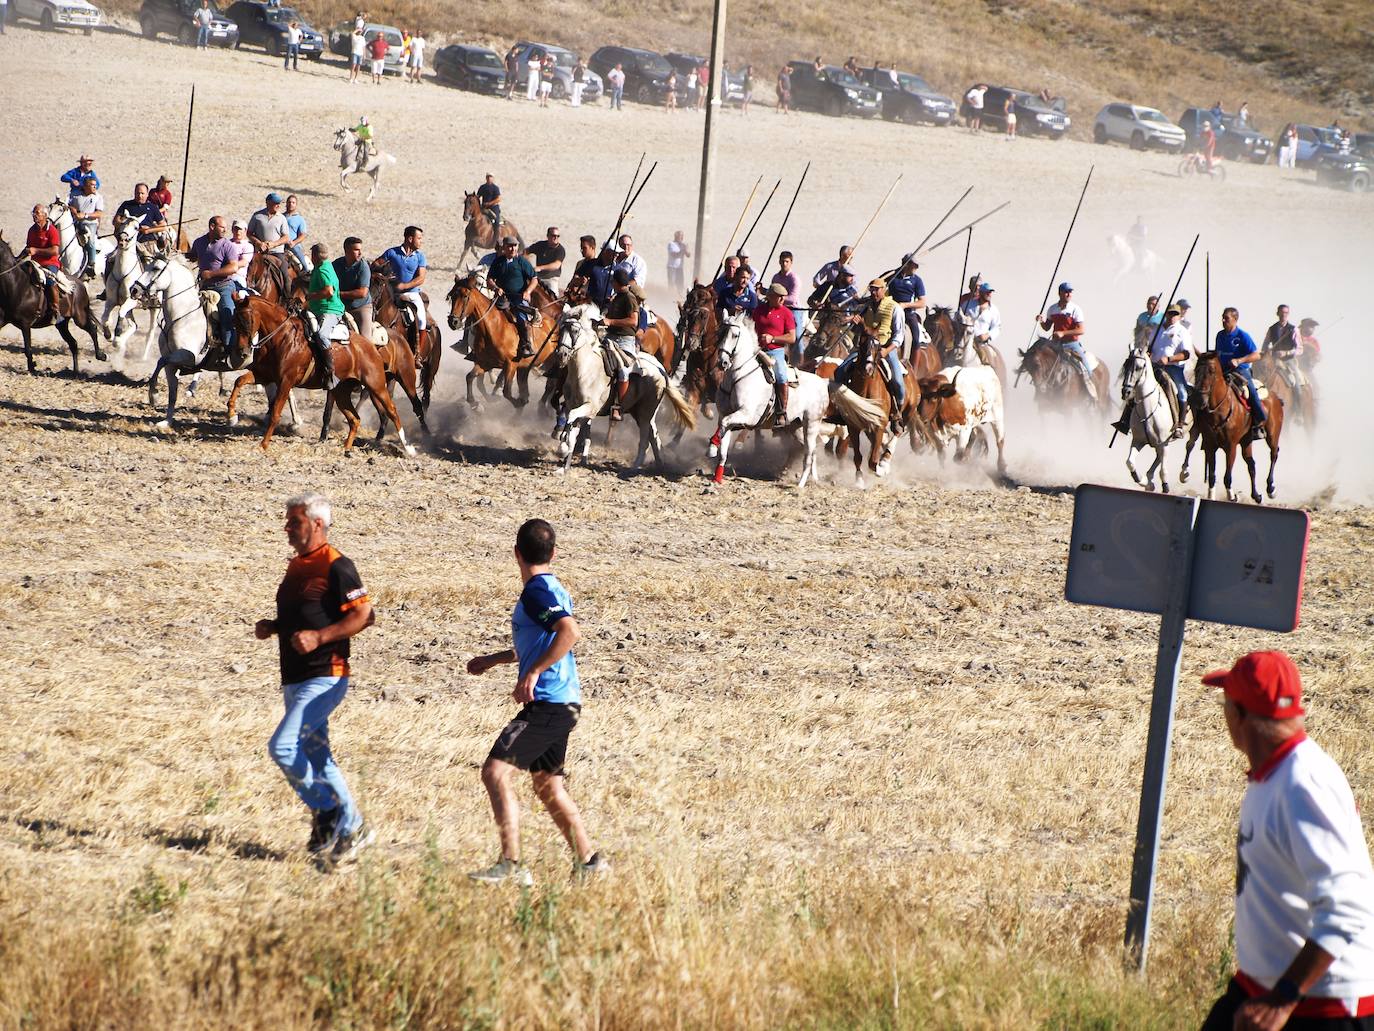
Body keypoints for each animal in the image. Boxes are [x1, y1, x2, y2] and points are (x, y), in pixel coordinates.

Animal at [0, 230, 104, 376]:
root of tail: (79, 283)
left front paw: (32, 368)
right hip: (62, 324)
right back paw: (75, 371)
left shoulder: (25, 324)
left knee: (92, 330)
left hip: (80, 317)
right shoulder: (2, 320)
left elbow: (28, 349)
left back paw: (101, 355)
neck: (16, 285)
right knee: (73, 343)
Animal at [226, 294, 412, 456]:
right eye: (233, 321)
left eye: (247, 320)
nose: (242, 352)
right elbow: (239, 381)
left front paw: (264, 444)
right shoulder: (264, 375)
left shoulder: (286, 382)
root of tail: (372, 347)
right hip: (341, 392)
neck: (282, 337)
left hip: (376, 385)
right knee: (355, 419)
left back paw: (408, 448)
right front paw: (231, 415)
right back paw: (346, 448)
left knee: (392, 411)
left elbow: (275, 413)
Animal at [708, 309, 879, 489]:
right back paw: (813, 479)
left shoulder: (747, 415)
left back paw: (801, 484)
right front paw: (717, 476)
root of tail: (824, 382)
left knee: (810, 455)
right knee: (812, 451)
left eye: (735, 335)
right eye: (720, 333)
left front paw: (712, 446)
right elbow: (723, 445)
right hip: (797, 428)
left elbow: (724, 424)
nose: (722, 362)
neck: (739, 377)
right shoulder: (726, 414)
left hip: (811, 424)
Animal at [1115, 349, 1181, 494]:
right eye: (1125, 365)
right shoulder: (1138, 441)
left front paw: (1165, 487)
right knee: (1157, 457)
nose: (1126, 392)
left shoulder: (1163, 443)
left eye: (1139, 367)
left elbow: (1163, 470)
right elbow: (1130, 462)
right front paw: (1144, 481)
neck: (1148, 409)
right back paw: (1149, 479)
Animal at [1176, 351, 1280, 505]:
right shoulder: (1210, 445)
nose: (1198, 399)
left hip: (1273, 435)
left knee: (1273, 454)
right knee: (1251, 464)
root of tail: (1276, 398)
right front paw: (1211, 496)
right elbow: (1212, 475)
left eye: (1212, 371)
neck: (1220, 409)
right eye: (1196, 370)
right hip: (1246, 441)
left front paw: (1232, 496)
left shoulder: (1231, 447)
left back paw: (1271, 488)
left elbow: (1227, 476)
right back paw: (1256, 495)